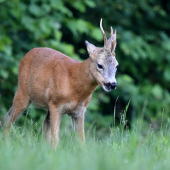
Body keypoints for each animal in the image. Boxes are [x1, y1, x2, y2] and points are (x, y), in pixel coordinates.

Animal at [3, 18, 118, 146]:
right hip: (23, 91)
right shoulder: (56, 104)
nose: (112, 84)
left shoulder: (80, 111)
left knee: (44, 128)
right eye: (100, 65)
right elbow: (56, 139)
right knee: (8, 119)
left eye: (116, 66)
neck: (75, 85)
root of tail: (27, 54)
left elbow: (81, 142)